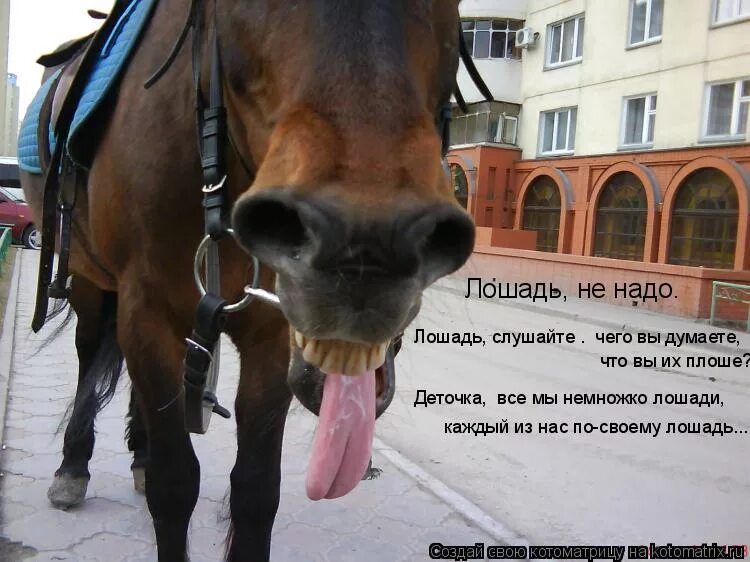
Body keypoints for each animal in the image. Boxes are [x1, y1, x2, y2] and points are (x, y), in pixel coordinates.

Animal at [21, 1, 475, 560]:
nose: (366, 249)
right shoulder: (145, 309)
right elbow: (175, 485)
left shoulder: (271, 336)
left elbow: (256, 489)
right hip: (90, 282)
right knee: (90, 356)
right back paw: (73, 465)